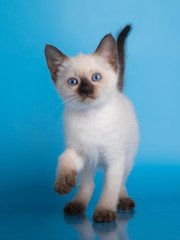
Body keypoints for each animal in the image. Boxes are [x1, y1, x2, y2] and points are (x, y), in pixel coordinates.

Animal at [44, 25, 140, 222]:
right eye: (73, 82)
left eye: (96, 77)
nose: (86, 90)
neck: (91, 117)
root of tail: (119, 93)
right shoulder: (79, 152)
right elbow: (64, 157)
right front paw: (63, 183)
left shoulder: (114, 159)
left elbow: (110, 189)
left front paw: (104, 212)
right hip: (89, 165)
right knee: (87, 184)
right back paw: (76, 204)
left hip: (128, 157)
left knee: (121, 182)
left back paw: (123, 200)